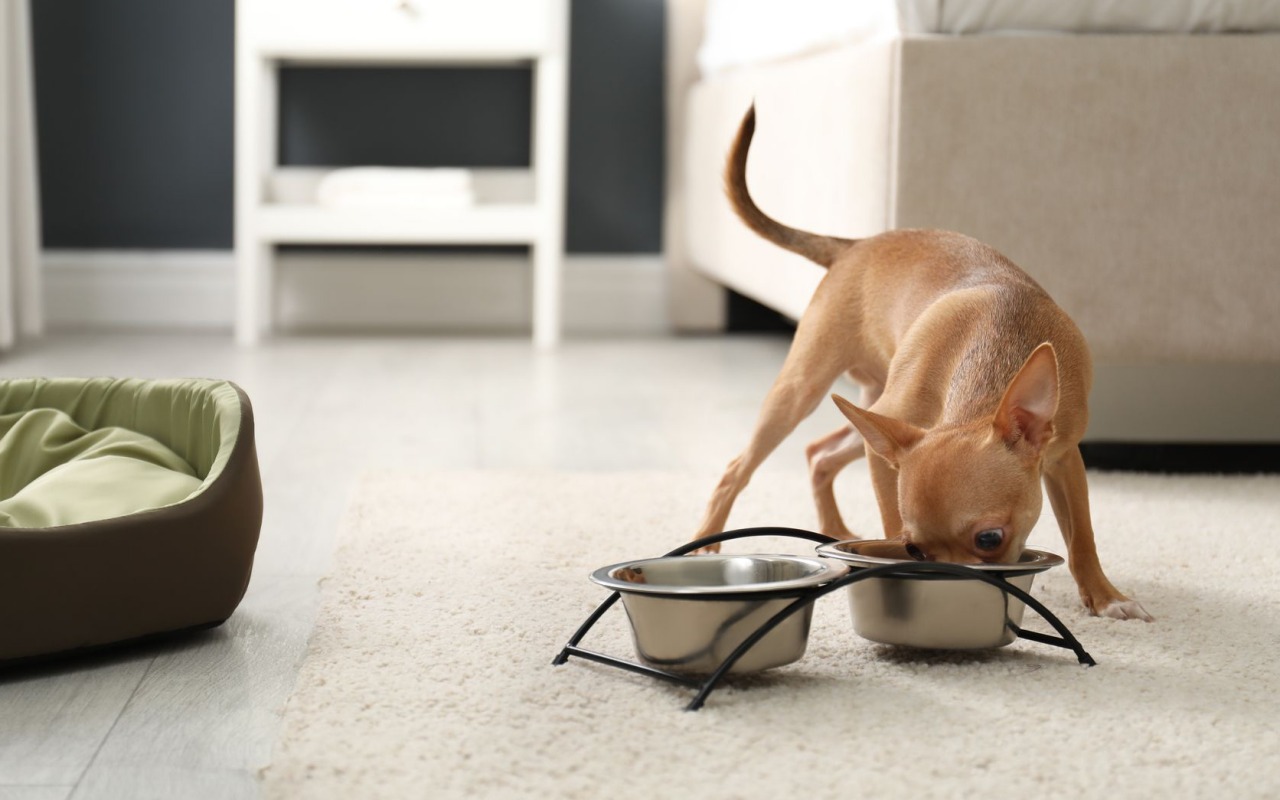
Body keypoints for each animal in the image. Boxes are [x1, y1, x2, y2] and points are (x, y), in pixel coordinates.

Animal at [696, 106, 1157, 622]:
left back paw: (835, 527)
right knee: (739, 469)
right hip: (809, 393)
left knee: (819, 453)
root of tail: (851, 245)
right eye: (915, 551)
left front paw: (1105, 595)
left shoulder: (1062, 457)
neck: (992, 357)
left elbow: (1082, 536)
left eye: (990, 539)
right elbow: (890, 520)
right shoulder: (889, 459)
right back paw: (704, 543)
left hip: (871, 417)